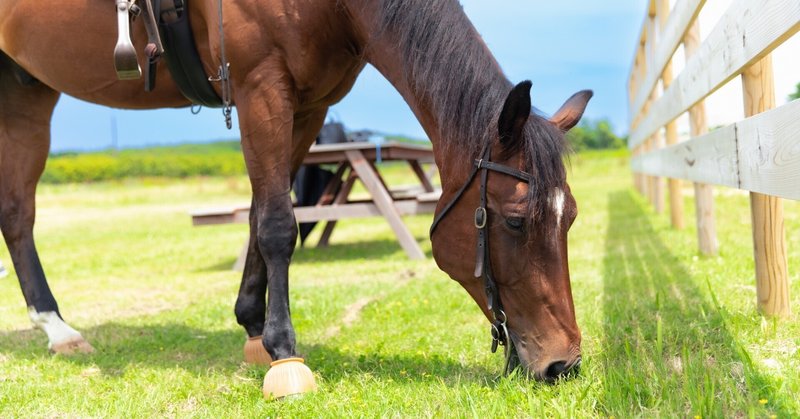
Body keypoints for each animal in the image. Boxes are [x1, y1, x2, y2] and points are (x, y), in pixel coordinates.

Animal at [0, 0, 588, 384]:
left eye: (571, 218)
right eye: (514, 220)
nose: (564, 363)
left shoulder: (308, 104)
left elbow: (266, 208)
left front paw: (253, 325)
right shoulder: (261, 86)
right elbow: (280, 224)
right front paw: (282, 348)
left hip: (26, 91)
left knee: (16, 213)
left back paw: (56, 328)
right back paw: (56, 328)